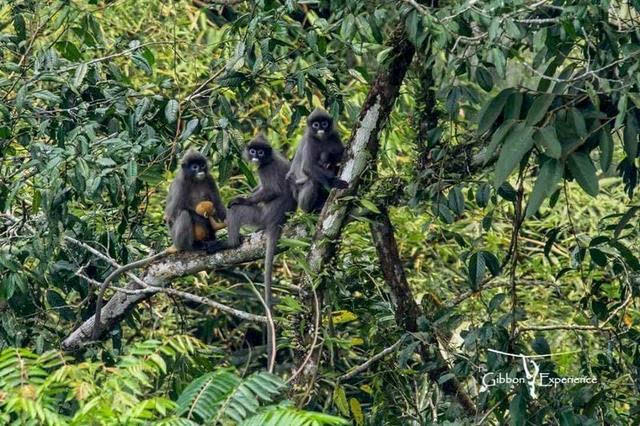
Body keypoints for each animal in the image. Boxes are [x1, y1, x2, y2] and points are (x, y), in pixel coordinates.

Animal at [92, 150, 228, 340]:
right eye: (194, 167)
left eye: (201, 165)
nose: (200, 170)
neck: (195, 180)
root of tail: (176, 243)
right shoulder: (179, 185)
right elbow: (172, 215)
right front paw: (203, 218)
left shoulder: (209, 180)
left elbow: (220, 209)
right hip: (178, 237)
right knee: (184, 215)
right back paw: (193, 246)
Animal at [224, 135, 296, 368]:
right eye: (253, 150)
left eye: (261, 152)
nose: (256, 156)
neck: (269, 159)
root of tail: (275, 222)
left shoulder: (267, 170)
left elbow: (272, 191)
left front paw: (241, 198)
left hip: (259, 216)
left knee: (237, 211)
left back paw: (229, 242)